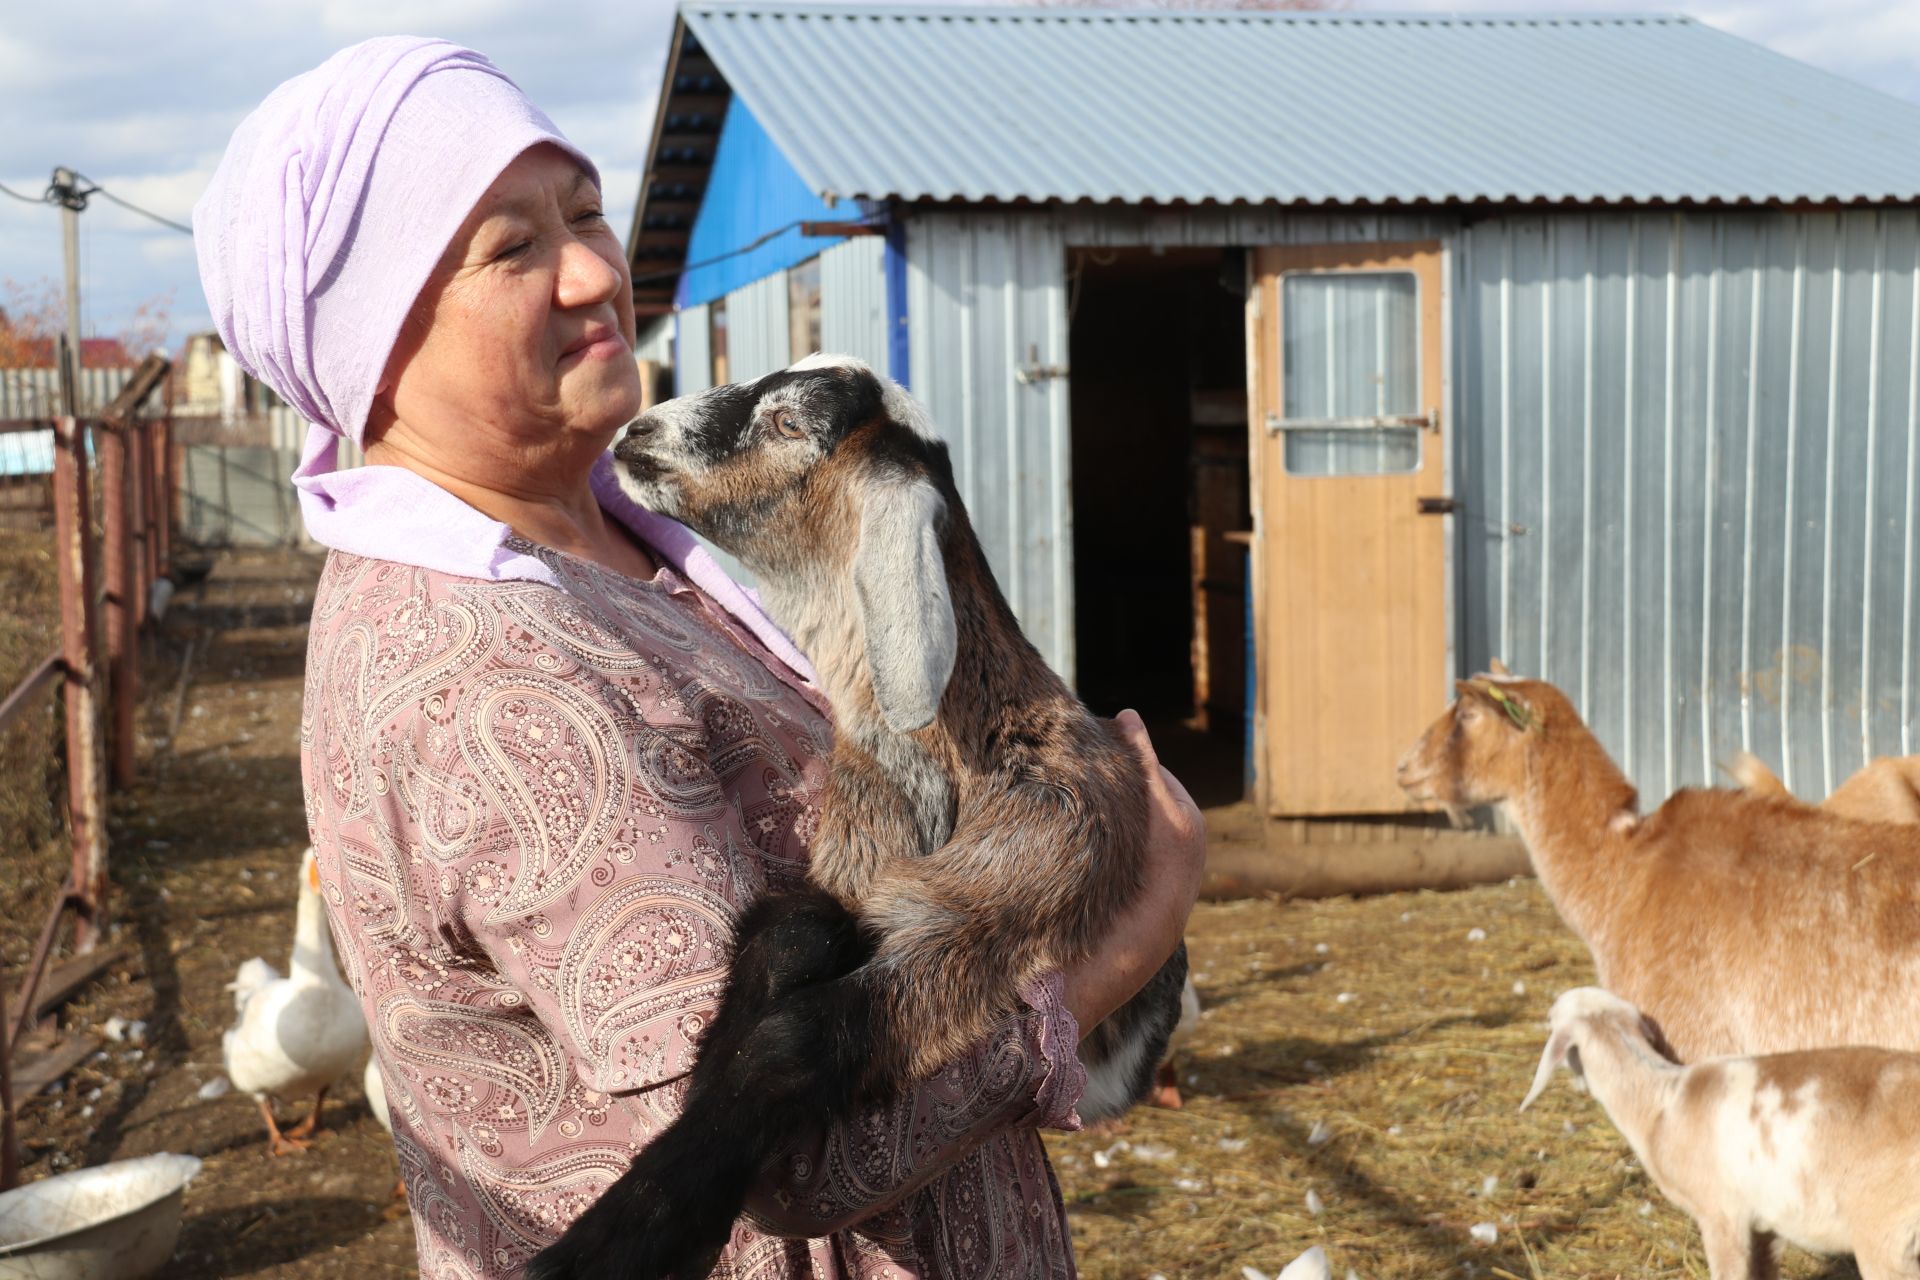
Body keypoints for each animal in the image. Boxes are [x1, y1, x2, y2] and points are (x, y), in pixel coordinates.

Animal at [526, 353, 1182, 1280]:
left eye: (789, 423)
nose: (636, 432)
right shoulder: (846, 878)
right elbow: (792, 930)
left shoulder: (989, 919)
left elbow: (796, 1037)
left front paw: (621, 1236)